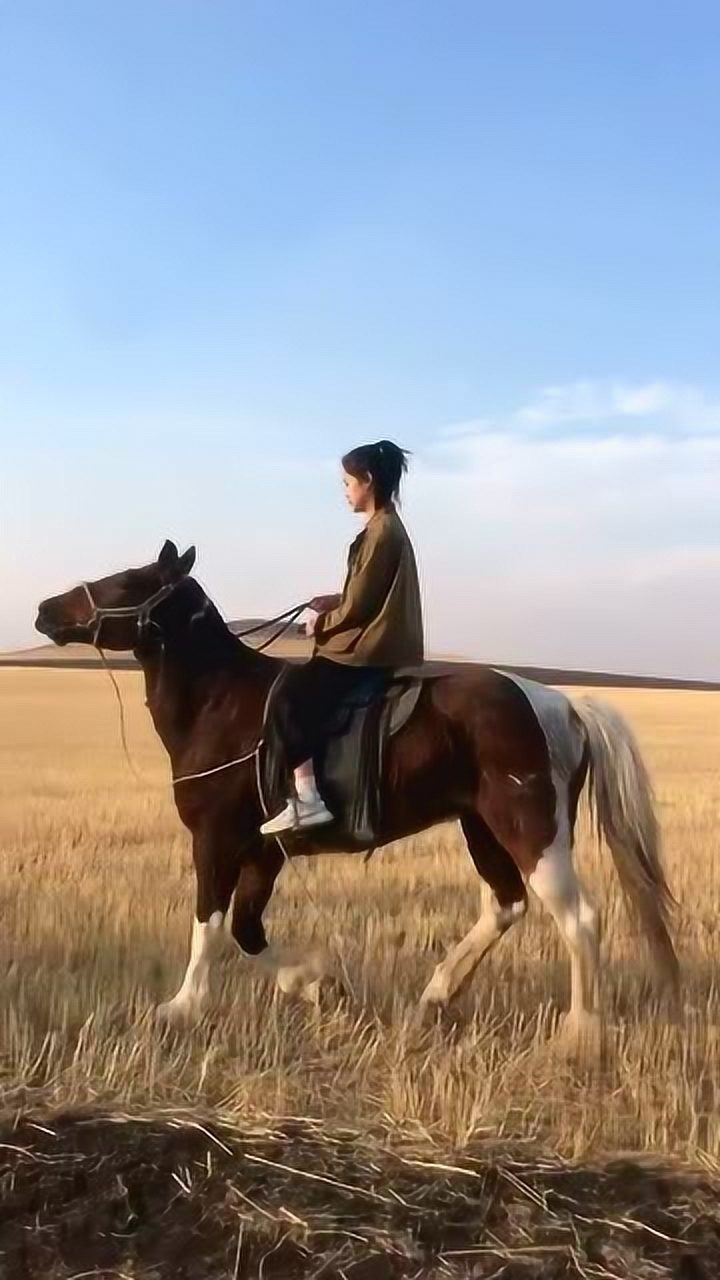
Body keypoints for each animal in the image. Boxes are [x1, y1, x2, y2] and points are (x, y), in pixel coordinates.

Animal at [35, 540, 679, 1039]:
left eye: (127, 579)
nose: (44, 609)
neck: (221, 703)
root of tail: (562, 705)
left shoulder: (215, 841)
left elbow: (209, 925)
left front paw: (183, 1007)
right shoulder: (264, 852)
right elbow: (246, 930)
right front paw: (316, 985)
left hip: (532, 828)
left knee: (578, 919)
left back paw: (581, 1035)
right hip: (481, 826)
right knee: (505, 904)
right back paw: (436, 996)